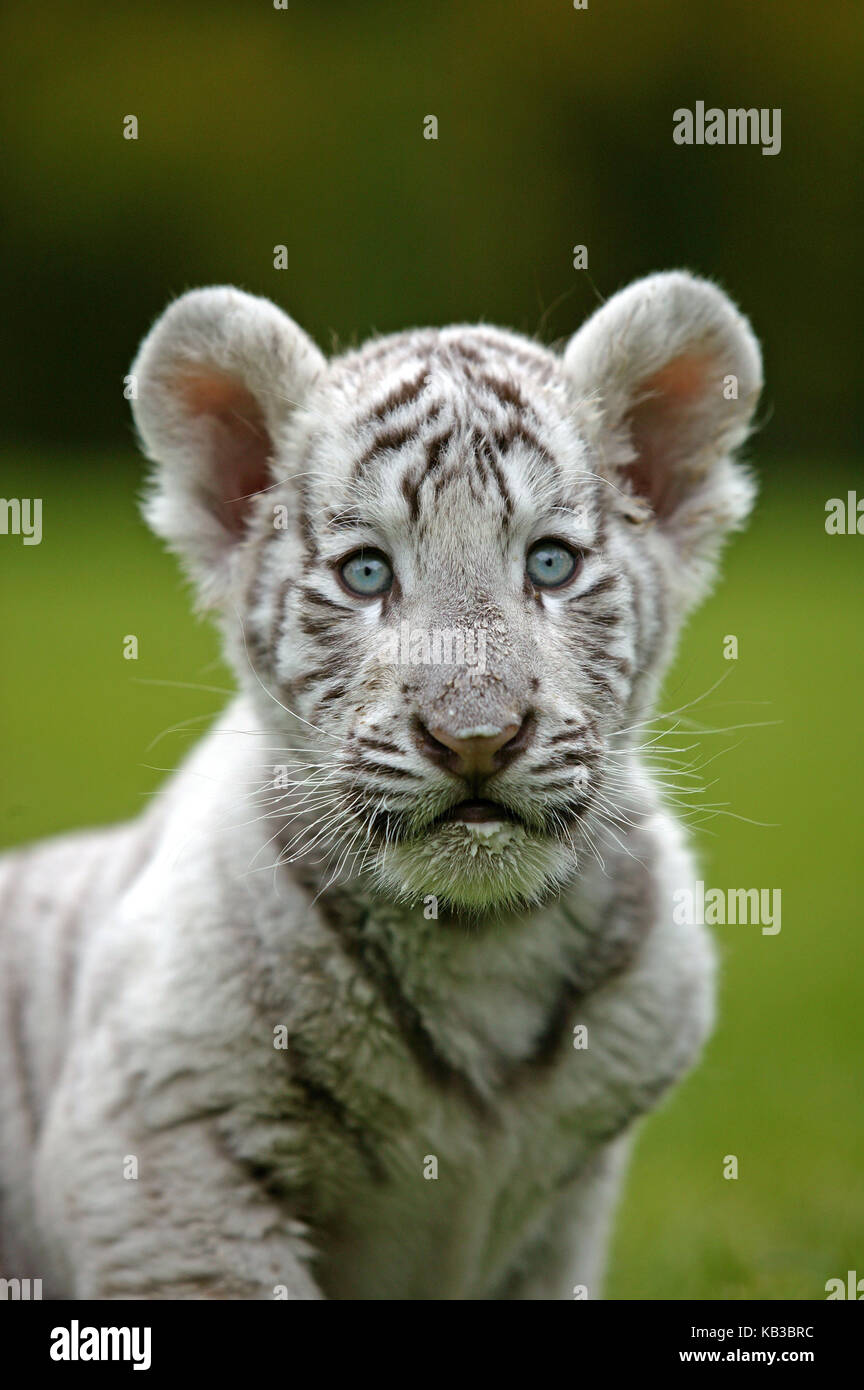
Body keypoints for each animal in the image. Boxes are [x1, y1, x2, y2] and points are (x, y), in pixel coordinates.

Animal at [0, 271, 762, 1299]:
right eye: (367, 574)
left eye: (550, 563)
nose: (476, 738)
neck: (482, 947)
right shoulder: (165, 1147)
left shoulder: (560, 1222)